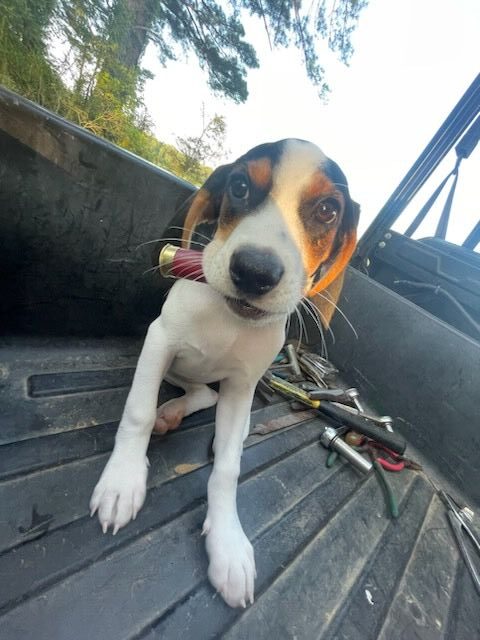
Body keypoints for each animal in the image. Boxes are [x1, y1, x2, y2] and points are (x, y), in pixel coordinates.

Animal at [90, 139, 359, 608]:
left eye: (328, 210)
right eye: (239, 186)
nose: (254, 271)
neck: (228, 321)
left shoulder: (241, 386)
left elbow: (228, 469)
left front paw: (228, 544)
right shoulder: (159, 340)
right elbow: (137, 413)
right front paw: (122, 479)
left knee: (209, 398)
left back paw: (182, 416)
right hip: (172, 362)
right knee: (192, 393)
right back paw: (167, 413)